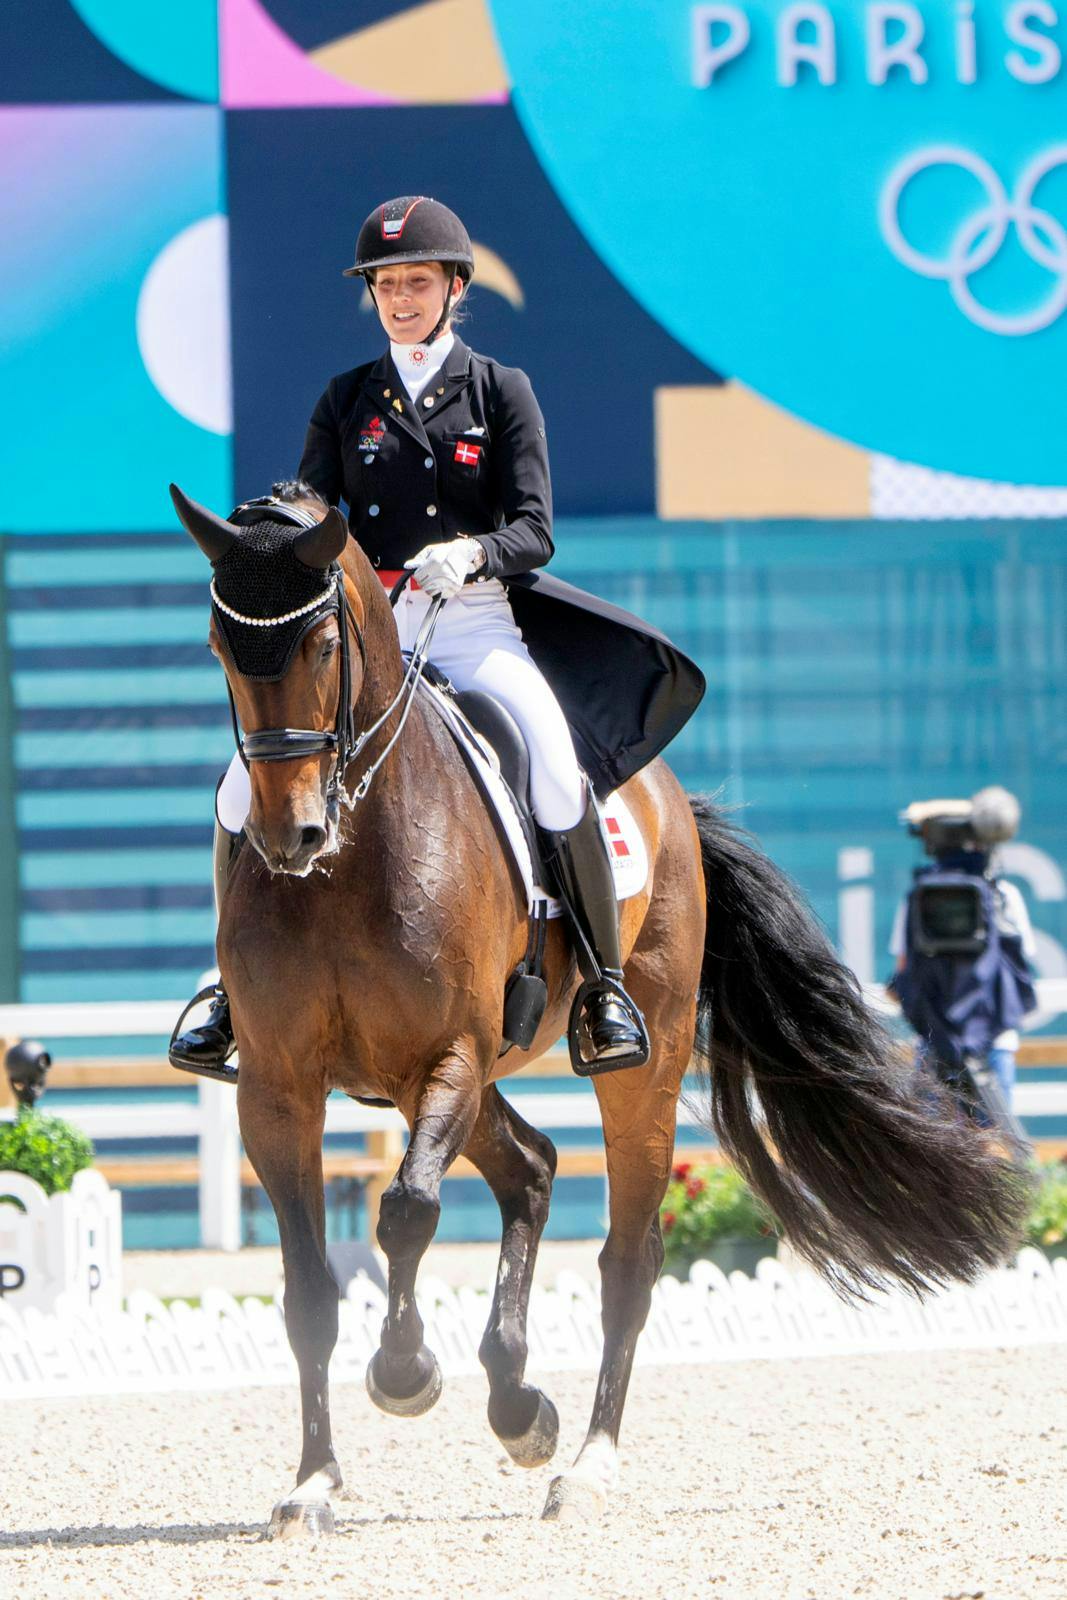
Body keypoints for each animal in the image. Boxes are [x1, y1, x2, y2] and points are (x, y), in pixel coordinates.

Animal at [171, 480, 1030, 1529]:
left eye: (324, 645)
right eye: (220, 646)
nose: (287, 835)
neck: (354, 845)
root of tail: (667, 800)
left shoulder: (447, 1055)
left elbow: (408, 1209)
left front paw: (406, 1375)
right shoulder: (281, 1088)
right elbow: (306, 1290)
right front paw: (313, 1481)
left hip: (632, 1066)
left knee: (627, 1256)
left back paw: (586, 1461)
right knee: (535, 1167)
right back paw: (517, 1405)